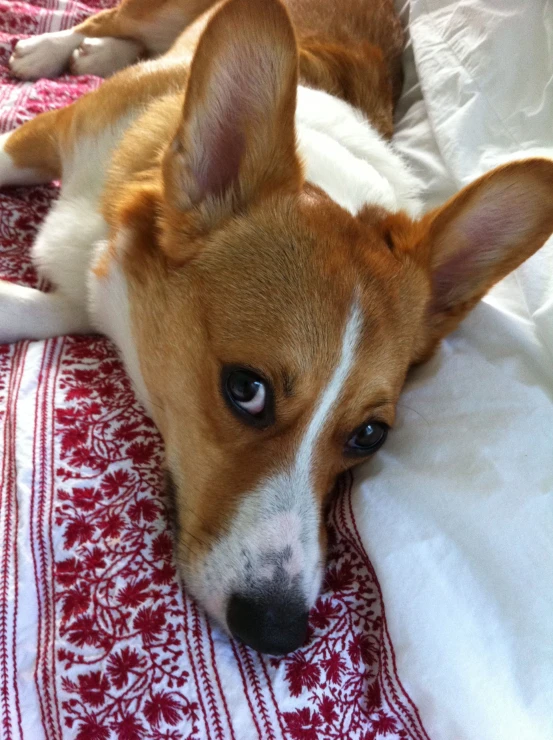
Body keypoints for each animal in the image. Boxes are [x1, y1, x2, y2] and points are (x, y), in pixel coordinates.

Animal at [1, 0, 552, 660]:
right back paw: (52, 51)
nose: (277, 631)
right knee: (107, 19)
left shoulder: (93, 290)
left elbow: (45, 306)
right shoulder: (41, 138)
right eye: (245, 389)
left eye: (369, 435)